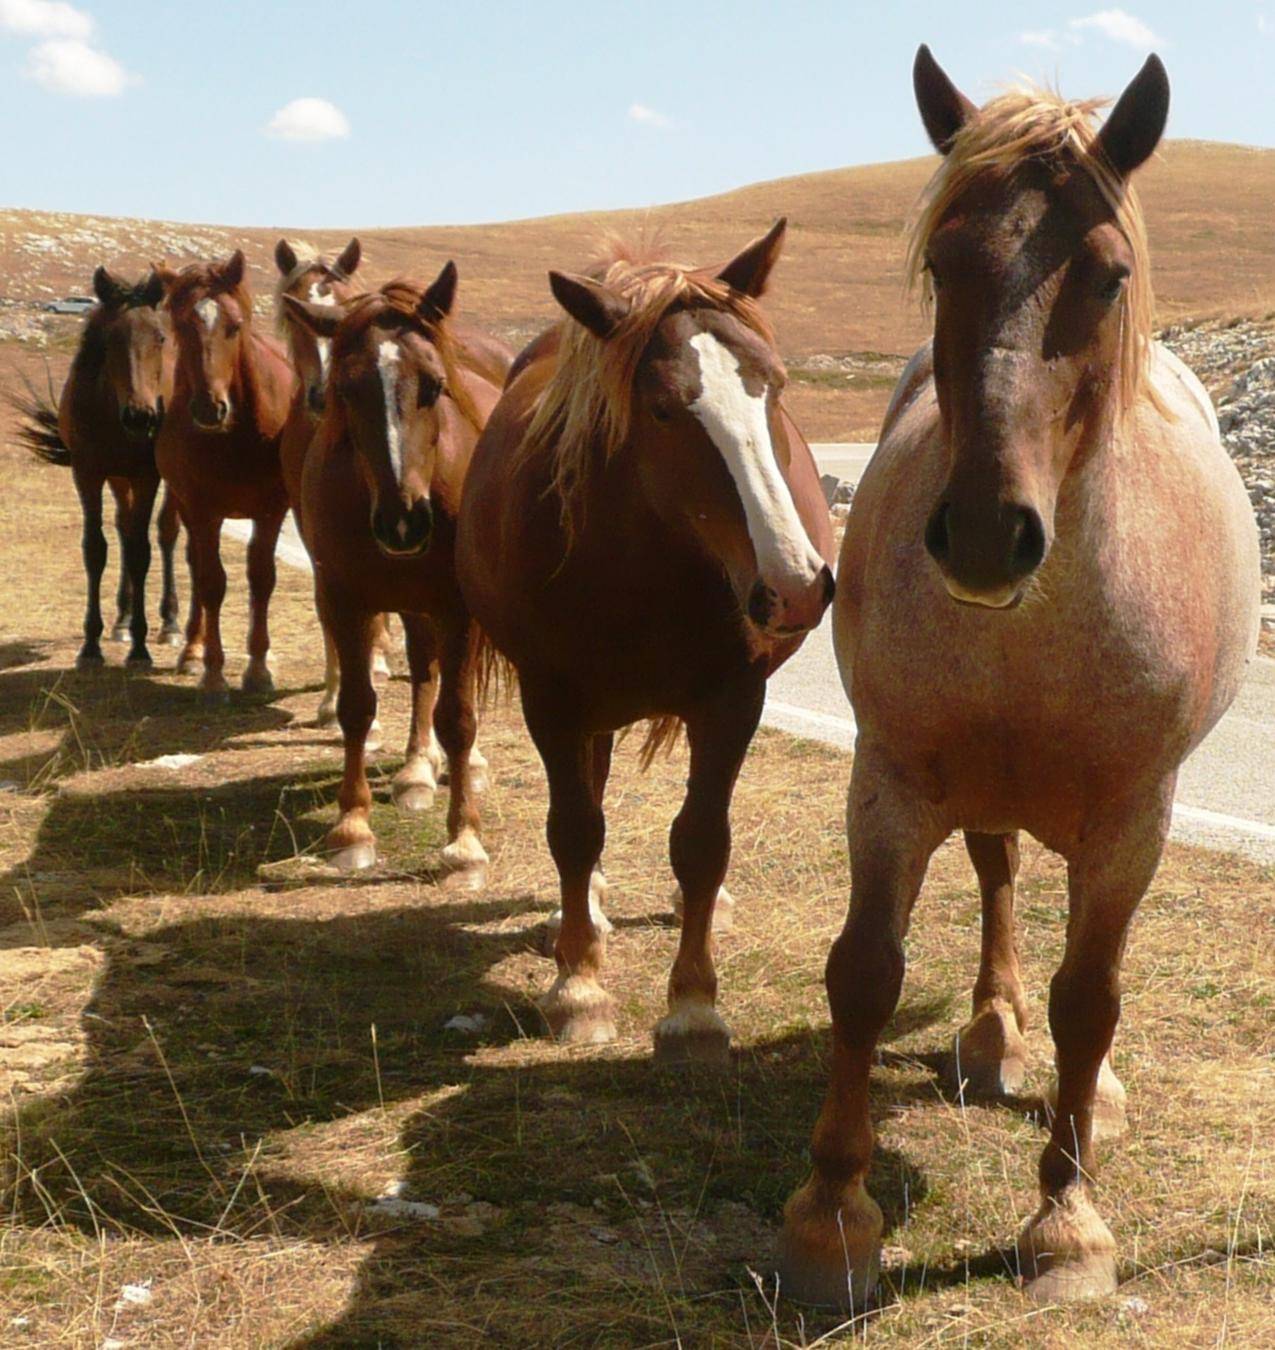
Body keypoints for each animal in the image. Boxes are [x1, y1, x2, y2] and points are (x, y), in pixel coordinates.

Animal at [8, 265, 182, 666]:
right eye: (111, 340)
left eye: (160, 338)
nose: (141, 416)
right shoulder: (88, 474)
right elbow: (96, 548)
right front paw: (92, 644)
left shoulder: (147, 475)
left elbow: (141, 551)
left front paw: (140, 648)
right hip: (118, 478)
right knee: (124, 528)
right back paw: (122, 620)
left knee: (166, 531)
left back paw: (170, 624)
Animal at [155, 251, 294, 696]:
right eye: (182, 325)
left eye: (234, 326)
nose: (209, 408)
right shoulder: (202, 511)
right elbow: (211, 582)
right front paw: (213, 673)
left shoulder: (271, 510)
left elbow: (261, 577)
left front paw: (259, 668)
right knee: (195, 567)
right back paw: (191, 649)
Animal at [286, 264, 510, 874]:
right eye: (347, 389)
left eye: (433, 385)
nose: (403, 521)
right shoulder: (345, 601)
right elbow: (357, 707)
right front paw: (352, 827)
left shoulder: (459, 610)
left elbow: (458, 717)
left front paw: (464, 841)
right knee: (423, 670)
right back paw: (415, 770)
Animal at [459, 221, 837, 1058]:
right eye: (663, 410)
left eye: (775, 386)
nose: (794, 585)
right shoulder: (552, 699)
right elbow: (574, 831)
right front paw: (579, 987)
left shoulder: (733, 700)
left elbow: (701, 841)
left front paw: (694, 1005)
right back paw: (582, 920)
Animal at [772, 52, 1258, 1306]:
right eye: (945, 263)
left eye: (1110, 276)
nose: (990, 535)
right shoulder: (889, 784)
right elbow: (863, 975)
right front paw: (830, 1217)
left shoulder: (1133, 820)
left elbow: (1091, 1001)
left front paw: (1067, 1223)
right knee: (995, 880)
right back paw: (993, 1038)